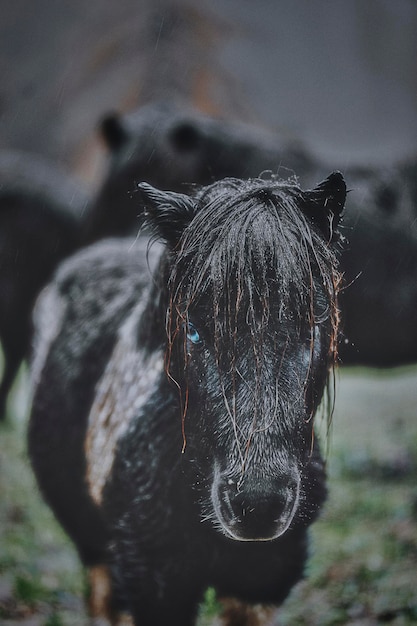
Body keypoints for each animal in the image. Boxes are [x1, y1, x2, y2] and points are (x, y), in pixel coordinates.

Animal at [29, 172, 346, 624]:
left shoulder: (261, 580)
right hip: (96, 551)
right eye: (193, 331)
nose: (258, 503)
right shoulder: (155, 583)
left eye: (313, 324)